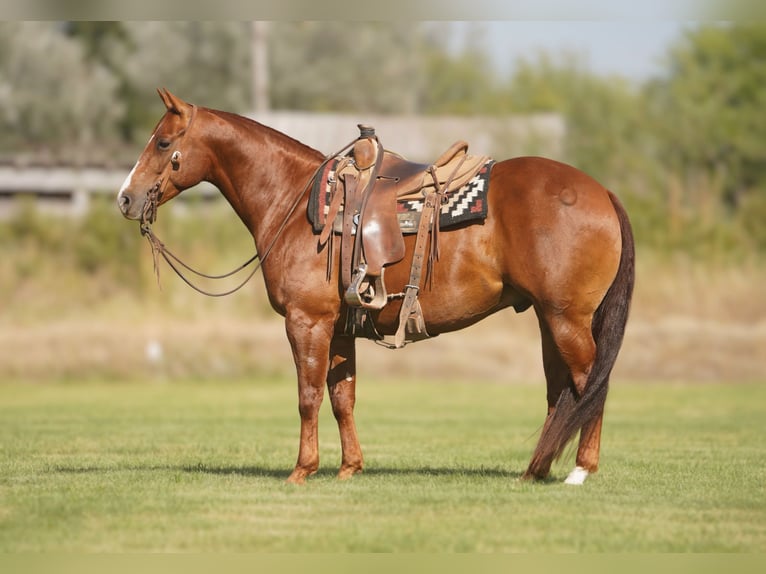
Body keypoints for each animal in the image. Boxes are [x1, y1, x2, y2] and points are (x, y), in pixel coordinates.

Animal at [117, 89, 634, 485]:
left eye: (163, 142)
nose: (125, 197)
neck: (296, 203)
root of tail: (603, 192)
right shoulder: (339, 328)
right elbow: (341, 397)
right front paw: (349, 468)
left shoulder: (307, 323)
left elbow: (308, 395)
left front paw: (302, 469)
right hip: (550, 320)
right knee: (561, 390)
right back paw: (536, 469)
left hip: (567, 319)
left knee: (591, 382)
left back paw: (580, 470)